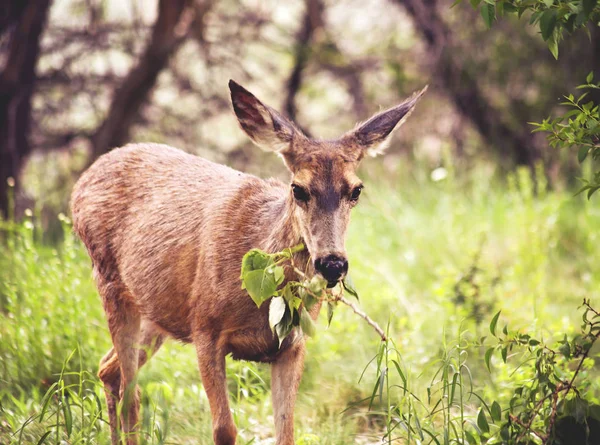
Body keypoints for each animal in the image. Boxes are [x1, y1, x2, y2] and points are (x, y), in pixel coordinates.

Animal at [70, 80, 426, 444]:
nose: (332, 264)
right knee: (130, 396)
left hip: (157, 312)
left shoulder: (293, 344)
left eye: (356, 190)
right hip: (109, 280)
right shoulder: (205, 328)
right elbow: (224, 429)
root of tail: (84, 178)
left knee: (109, 370)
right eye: (298, 189)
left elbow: (286, 431)